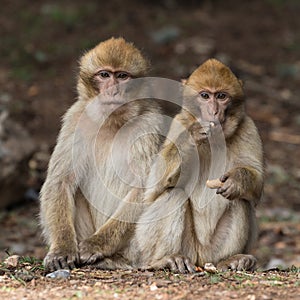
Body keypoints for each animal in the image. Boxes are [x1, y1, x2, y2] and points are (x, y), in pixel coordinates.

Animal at [39, 37, 176, 272]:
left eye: (122, 76)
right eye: (104, 75)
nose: (112, 90)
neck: (112, 122)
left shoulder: (150, 123)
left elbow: (145, 188)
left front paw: (95, 245)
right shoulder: (75, 119)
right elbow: (60, 182)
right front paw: (62, 249)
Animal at [130, 58, 264, 272]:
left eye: (221, 96)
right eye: (205, 96)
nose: (214, 111)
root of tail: (201, 259)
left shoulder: (248, 127)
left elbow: (256, 184)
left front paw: (236, 180)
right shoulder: (178, 123)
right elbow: (153, 188)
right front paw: (193, 135)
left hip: (212, 251)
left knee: (239, 200)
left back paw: (231, 259)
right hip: (169, 245)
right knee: (174, 194)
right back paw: (164, 260)